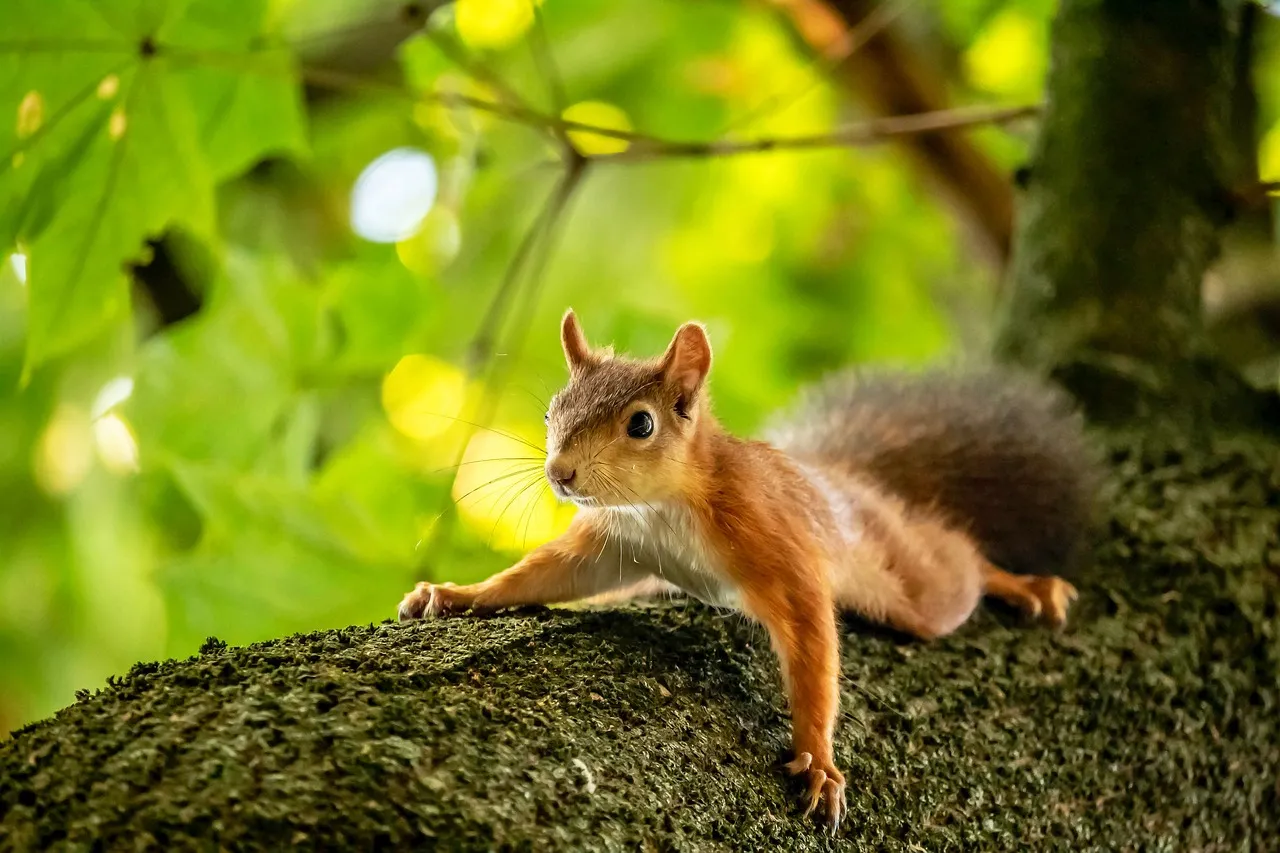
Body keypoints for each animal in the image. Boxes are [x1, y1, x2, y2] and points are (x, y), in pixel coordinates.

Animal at [398, 310, 1099, 829]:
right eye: (550, 412)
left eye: (642, 424)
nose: (560, 475)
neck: (664, 508)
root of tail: (844, 479)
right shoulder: (614, 546)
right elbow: (542, 577)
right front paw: (455, 594)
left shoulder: (776, 543)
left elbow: (813, 637)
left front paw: (818, 761)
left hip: (914, 582)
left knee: (958, 564)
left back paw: (1023, 584)